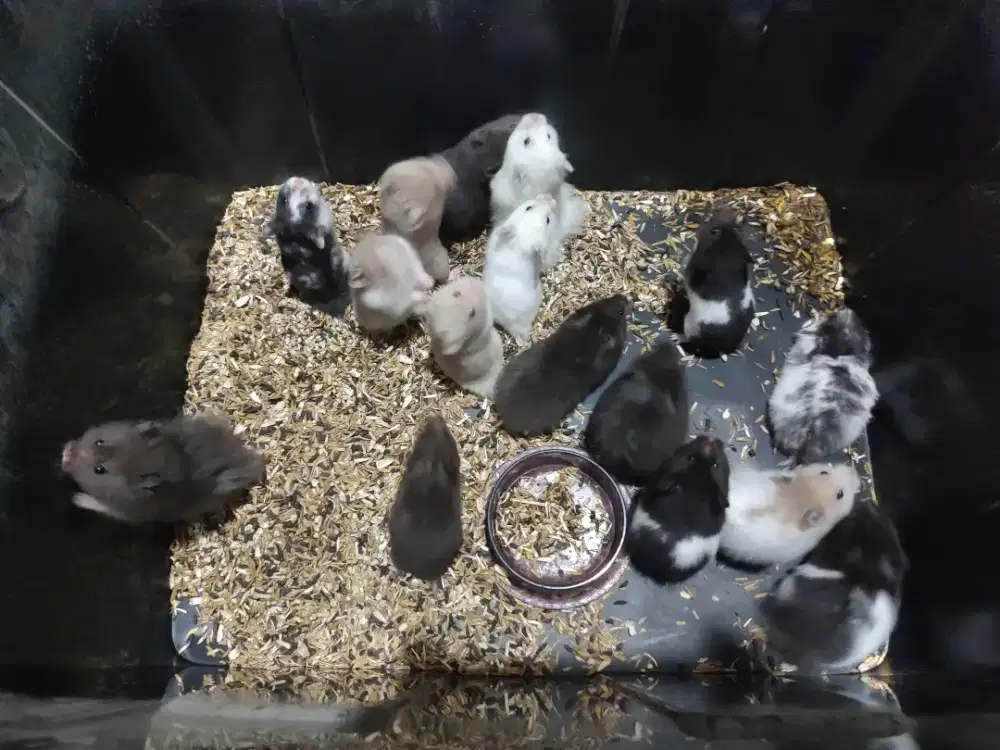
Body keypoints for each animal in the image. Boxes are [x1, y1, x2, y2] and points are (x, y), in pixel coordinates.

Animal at [61, 415, 266, 524]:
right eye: (99, 441)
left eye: (99, 470)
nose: (66, 454)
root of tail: (249, 456)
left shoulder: (128, 513)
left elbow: (97, 504)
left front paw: (75, 498)